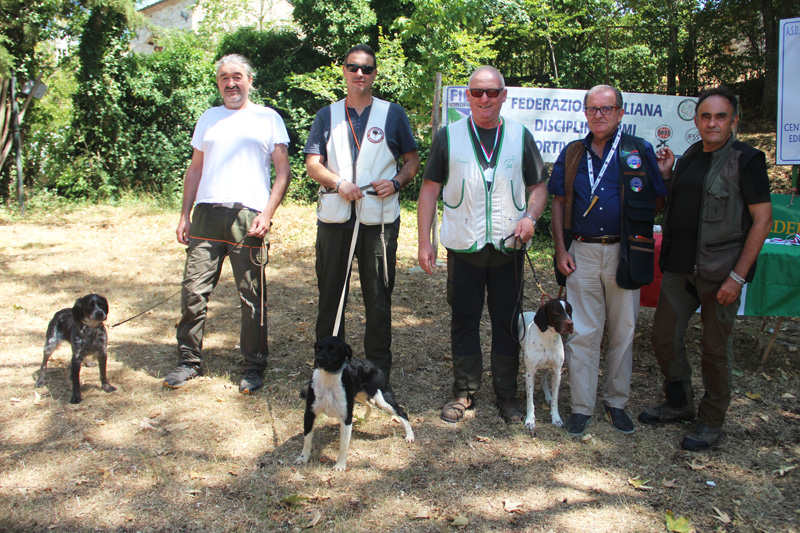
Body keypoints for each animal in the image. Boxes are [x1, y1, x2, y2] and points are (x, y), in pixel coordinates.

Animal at [296, 336, 418, 470]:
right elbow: (307, 440)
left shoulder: (346, 418)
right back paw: (364, 417)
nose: (319, 359)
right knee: (369, 404)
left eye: (333, 350)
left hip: (383, 399)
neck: (328, 381)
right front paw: (303, 458)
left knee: (401, 412)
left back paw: (410, 435)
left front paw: (340, 465)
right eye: (318, 348)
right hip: (359, 395)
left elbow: (343, 446)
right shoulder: (309, 414)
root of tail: (371, 364)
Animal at [520, 300, 576, 428]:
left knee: (544, 379)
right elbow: (530, 401)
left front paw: (556, 418)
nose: (570, 324)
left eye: (569, 310)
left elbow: (555, 399)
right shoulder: (530, 373)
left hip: (546, 367)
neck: (548, 338)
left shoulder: (557, 372)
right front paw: (530, 420)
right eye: (555, 311)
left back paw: (547, 395)